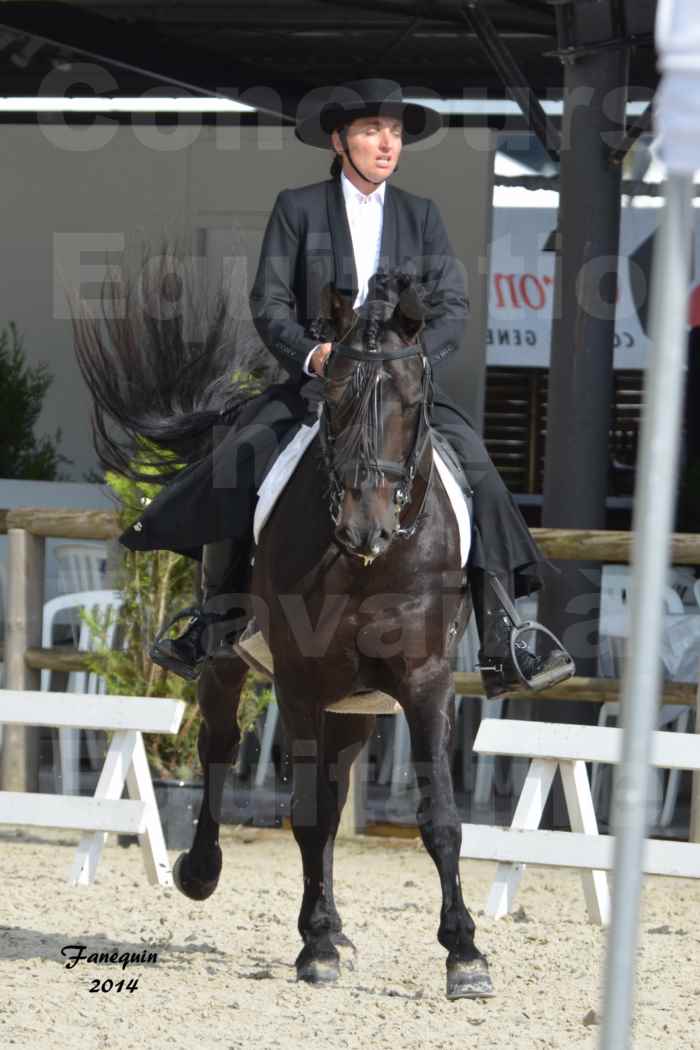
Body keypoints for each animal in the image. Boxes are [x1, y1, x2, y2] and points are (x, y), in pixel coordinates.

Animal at [73, 264, 495, 999]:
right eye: (335, 398)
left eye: (412, 400)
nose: (364, 528)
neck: (367, 565)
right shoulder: (299, 681)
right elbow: (304, 812)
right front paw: (316, 944)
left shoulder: (426, 683)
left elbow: (439, 816)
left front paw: (464, 954)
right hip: (229, 665)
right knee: (219, 747)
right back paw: (204, 873)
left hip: (356, 705)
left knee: (333, 786)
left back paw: (334, 924)